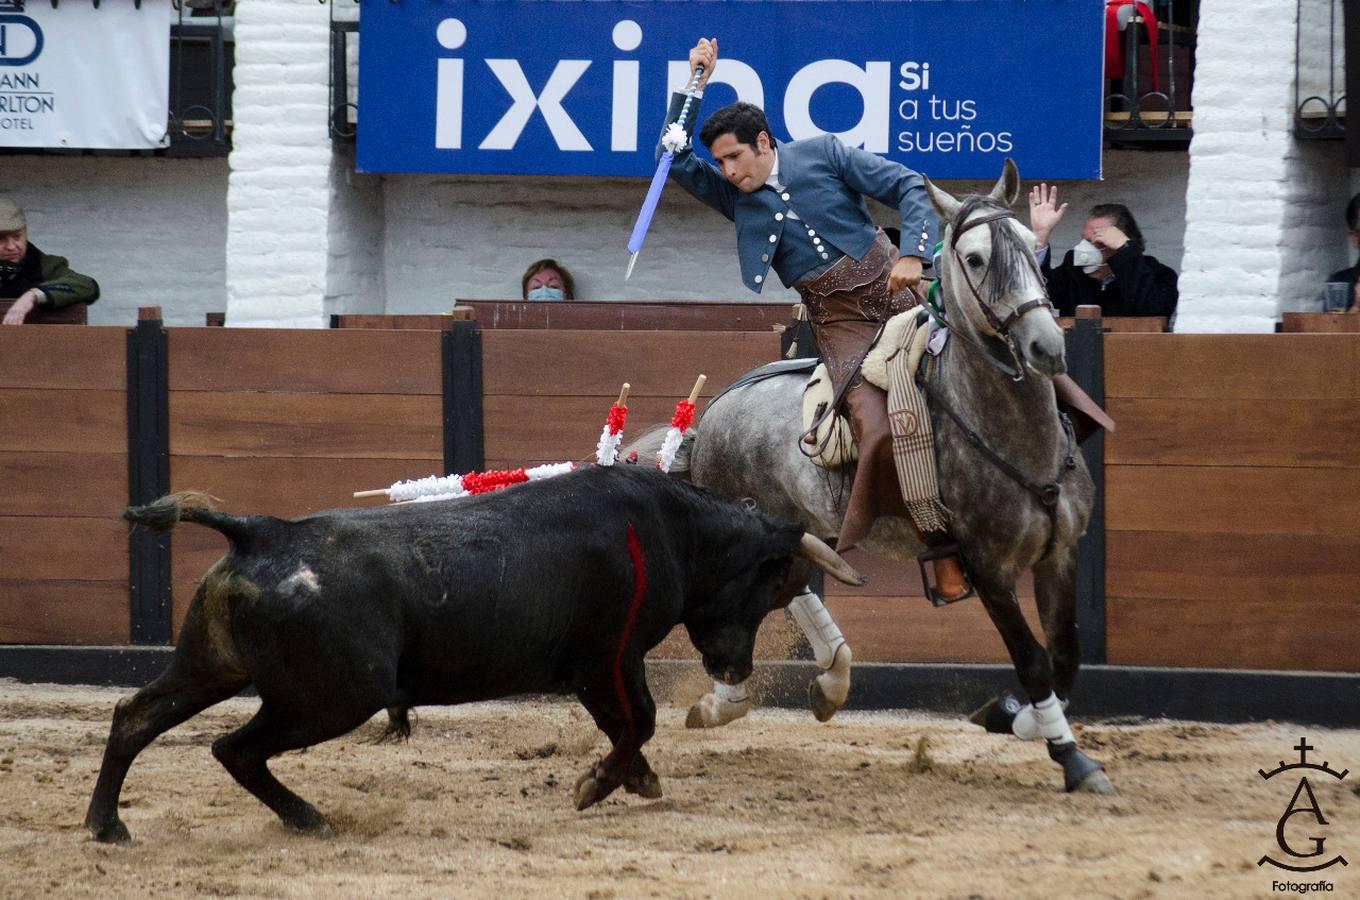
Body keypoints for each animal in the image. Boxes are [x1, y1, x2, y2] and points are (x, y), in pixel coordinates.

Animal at [85, 464, 864, 848]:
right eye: (770, 587)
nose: (735, 670)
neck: (673, 529)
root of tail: (260, 531)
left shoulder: (604, 667)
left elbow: (628, 726)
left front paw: (632, 781)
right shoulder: (604, 661)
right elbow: (635, 721)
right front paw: (598, 785)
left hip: (211, 666)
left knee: (134, 717)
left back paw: (108, 826)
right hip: (334, 696)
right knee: (234, 749)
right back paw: (310, 820)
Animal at [641, 162, 1109, 799]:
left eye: (1030, 246)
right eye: (974, 258)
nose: (1046, 346)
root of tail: (711, 414)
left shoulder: (1059, 552)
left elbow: (1065, 655)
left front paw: (1014, 716)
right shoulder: (988, 566)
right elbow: (1034, 660)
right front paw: (1070, 756)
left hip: (797, 529)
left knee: (789, 586)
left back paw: (827, 681)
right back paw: (727, 701)